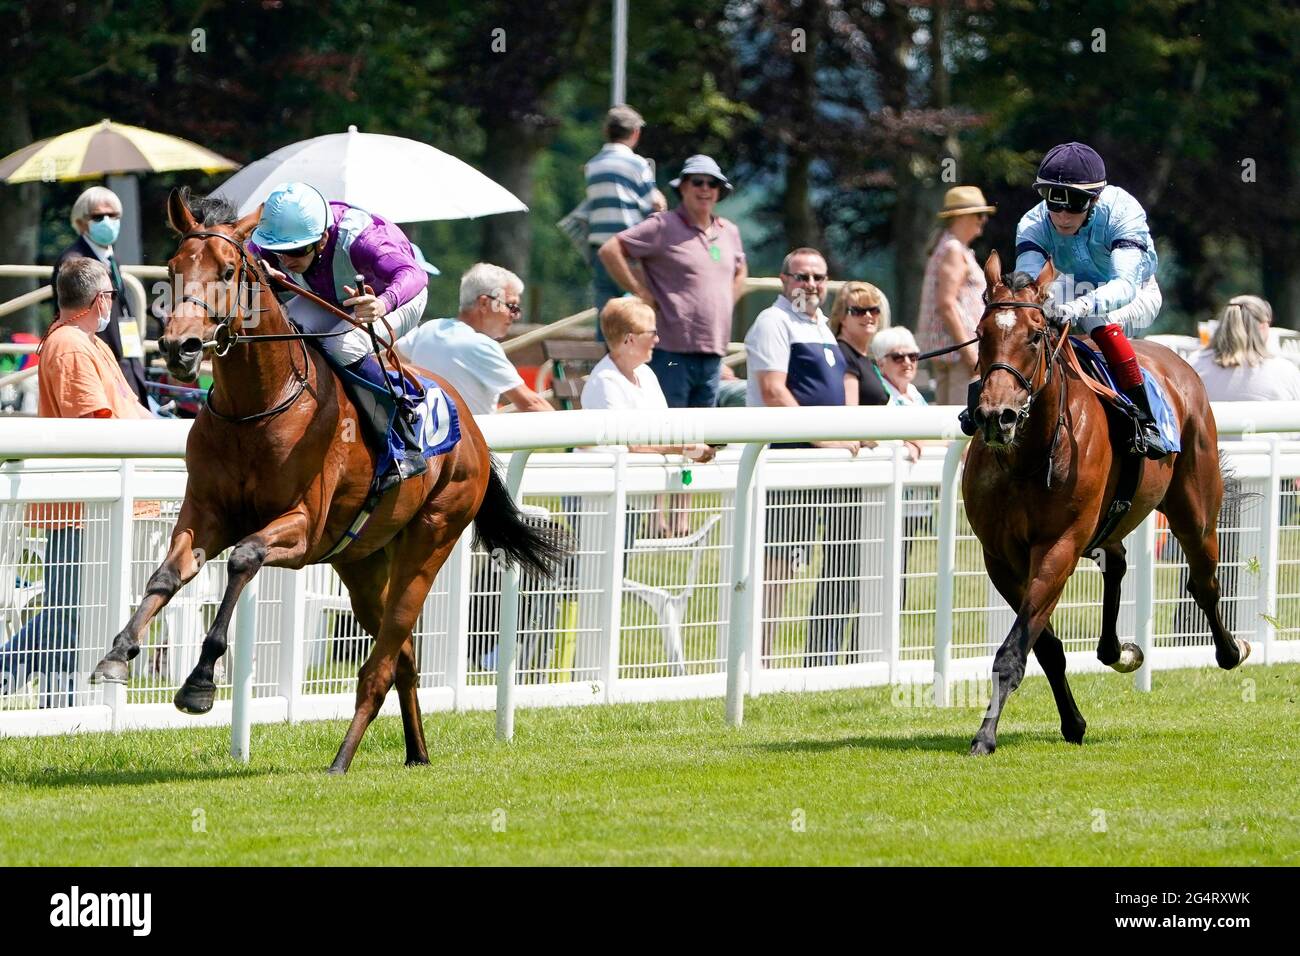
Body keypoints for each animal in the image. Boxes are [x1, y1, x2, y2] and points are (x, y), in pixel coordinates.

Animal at [91, 191, 559, 775]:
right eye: (173, 269)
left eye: (227, 271)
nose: (182, 347)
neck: (257, 407)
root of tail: (472, 427)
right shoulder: (205, 513)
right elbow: (166, 574)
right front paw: (117, 654)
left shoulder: (302, 529)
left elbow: (243, 558)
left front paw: (199, 683)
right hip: (361, 561)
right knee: (401, 656)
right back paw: (417, 753)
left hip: (431, 538)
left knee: (380, 664)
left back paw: (342, 760)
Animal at [967, 252, 1248, 754]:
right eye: (982, 334)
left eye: (1035, 335)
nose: (996, 416)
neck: (1028, 456)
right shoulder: (999, 556)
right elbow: (1044, 646)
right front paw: (1072, 722)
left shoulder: (1058, 545)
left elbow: (1015, 649)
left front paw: (985, 735)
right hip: (1108, 522)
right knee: (1116, 563)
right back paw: (1117, 650)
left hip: (1194, 511)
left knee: (1204, 582)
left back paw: (1230, 650)